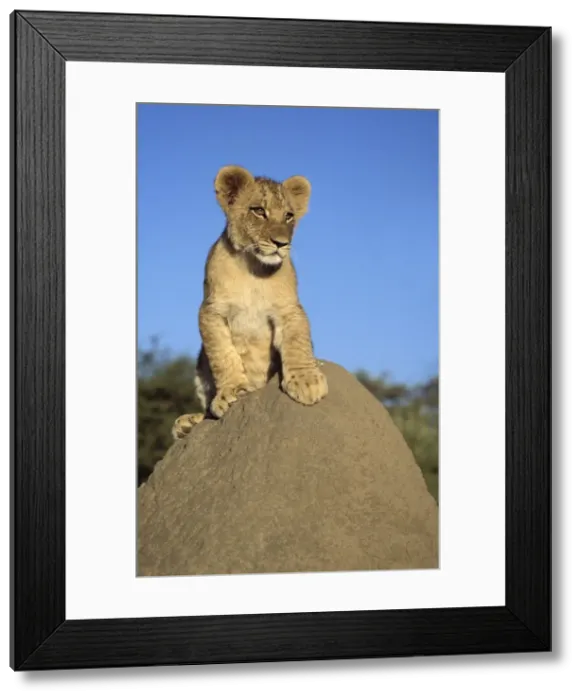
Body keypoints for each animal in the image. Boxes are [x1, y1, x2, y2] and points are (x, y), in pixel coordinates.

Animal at [172, 164, 328, 440]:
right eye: (259, 211)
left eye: (289, 216)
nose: (281, 243)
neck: (253, 270)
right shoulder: (210, 311)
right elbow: (223, 355)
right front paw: (232, 391)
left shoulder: (290, 310)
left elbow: (297, 343)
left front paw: (307, 381)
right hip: (200, 365)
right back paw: (188, 423)